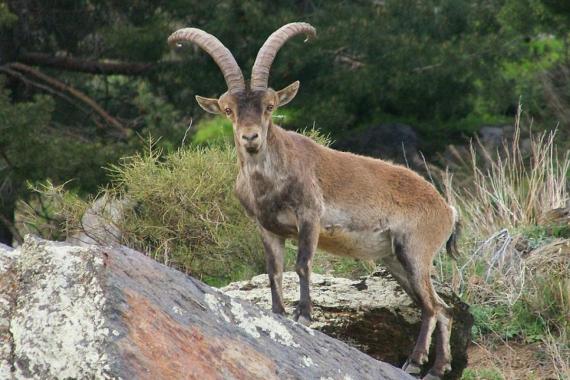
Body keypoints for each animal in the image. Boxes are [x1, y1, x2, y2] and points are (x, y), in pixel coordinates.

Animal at [168, 22, 458, 378]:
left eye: (269, 106)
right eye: (228, 109)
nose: (250, 138)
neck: (270, 182)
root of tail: (447, 209)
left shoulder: (310, 217)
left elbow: (302, 264)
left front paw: (304, 316)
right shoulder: (267, 228)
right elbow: (274, 270)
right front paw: (278, 314)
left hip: (416, 251)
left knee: (431, 307)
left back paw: (415, 361)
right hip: (395, 261)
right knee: (443, 309)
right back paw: (437, 368)